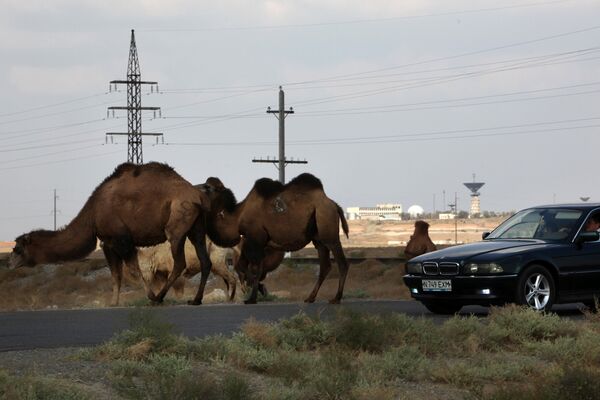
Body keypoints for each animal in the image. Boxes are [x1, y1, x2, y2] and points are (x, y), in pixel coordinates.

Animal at [8, 162, 213, 306]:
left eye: (17, 249)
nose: (10, 263)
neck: (92, 214)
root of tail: (198, 195)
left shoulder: (122, 239)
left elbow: (133, 270)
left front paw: (150, 296)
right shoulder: (108, 243)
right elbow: (116, 274)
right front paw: (114, 302)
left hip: (177, 223)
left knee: (179, 262)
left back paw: (160, 297)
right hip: (197, 227)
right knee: (205, 260)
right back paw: (196, 300)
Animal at [198, 173, 346, 304]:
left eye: (207, 187)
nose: (197, 189)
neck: (238, 218)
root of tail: (334, 204)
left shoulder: (255, 238)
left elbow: (255, 268)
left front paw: (252, 298)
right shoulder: (254, 241)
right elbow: (244, 266)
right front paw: (259, 289)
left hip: (328, 229)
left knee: (342, 262)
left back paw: (336, 298)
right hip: (318, 239)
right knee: (325, 266)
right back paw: (310, 298)